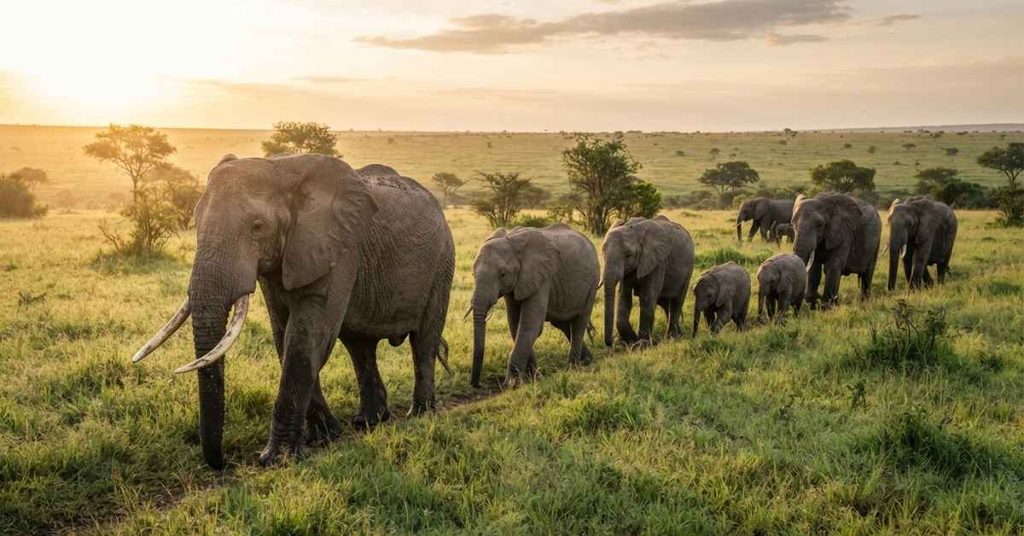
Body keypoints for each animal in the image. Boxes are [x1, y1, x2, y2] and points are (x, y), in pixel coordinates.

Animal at [131, 154, 455, 469]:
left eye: (257, 227)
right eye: (195, 223)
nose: (223, 463)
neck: (280, 169)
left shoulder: (338, 248)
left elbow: (307, 337)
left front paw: (278, 459)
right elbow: (282, 333)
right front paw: (325, 437)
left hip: (442, 262)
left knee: (423, 340)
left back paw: (420, 414)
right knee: (360, 346)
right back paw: (369, 422)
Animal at [469, 224, 599, 386]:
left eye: (503, 274)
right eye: (473, 274)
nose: (476, 384)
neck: (512, 242)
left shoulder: (542, 278)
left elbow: (530, 326)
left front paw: (512, 384)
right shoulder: (515, 286)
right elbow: (515, 326)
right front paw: (535, 378)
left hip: (592, 282)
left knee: (579, 324)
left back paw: (572, 368)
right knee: (564, 325)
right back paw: (588, 361)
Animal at [601, 216, 695, 347]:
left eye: (628, 255)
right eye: (602, 253)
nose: (611, 343)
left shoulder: (658, 262)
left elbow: (647, 298)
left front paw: (643, 344)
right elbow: (624, 297)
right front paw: (630, 342)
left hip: (688, 268)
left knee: (677, 301)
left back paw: (672, 337)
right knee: (666, 304)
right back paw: (677, 335)